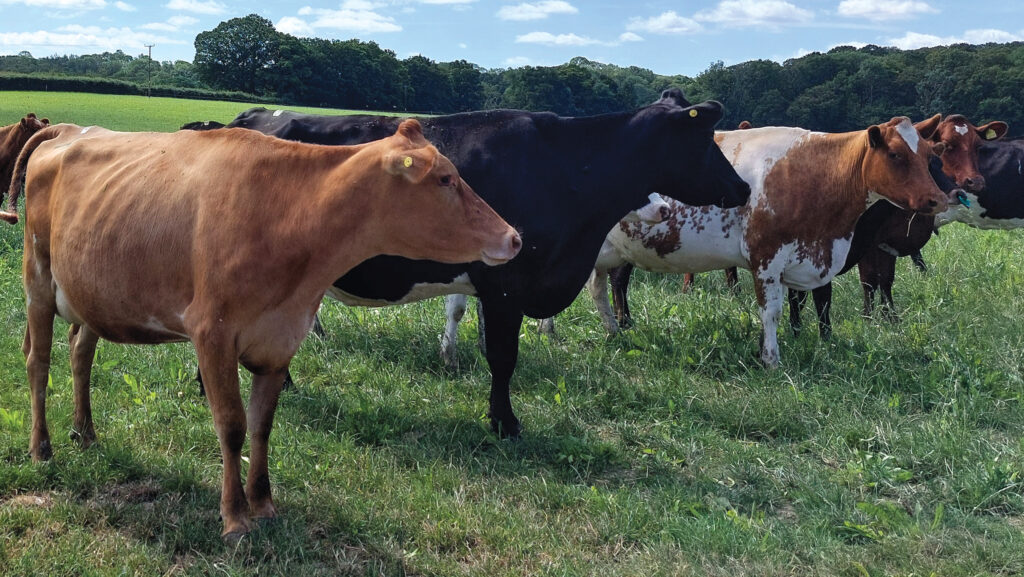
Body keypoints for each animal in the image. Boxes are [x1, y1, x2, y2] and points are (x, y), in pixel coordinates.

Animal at [3, 119, 521, 539]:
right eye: (446, 179)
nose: (514, 237)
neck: (290, 220)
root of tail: (71, 129)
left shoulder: (280, 342)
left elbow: (262, 426)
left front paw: (264, 504)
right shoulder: (211, 334)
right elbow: (231, 426)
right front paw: (234, 518)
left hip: (92, 292)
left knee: (80, 353)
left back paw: (85, 433)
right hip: (37, 280)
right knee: (38, 362)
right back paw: (42, 448)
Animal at [207, 88, 751, 438]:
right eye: (706, 140)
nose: (744, 188)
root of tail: (246, 118)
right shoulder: (507, 283)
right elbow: (503, 357)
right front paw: (505, 424)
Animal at [533, 117, 950, 366]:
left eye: (930, 155)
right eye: (895, 154)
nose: (937, 200)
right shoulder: (765, 255)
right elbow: (772, 311)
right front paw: (771, 359)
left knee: (597, 288)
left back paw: (611, 330)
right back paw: (549, 332)